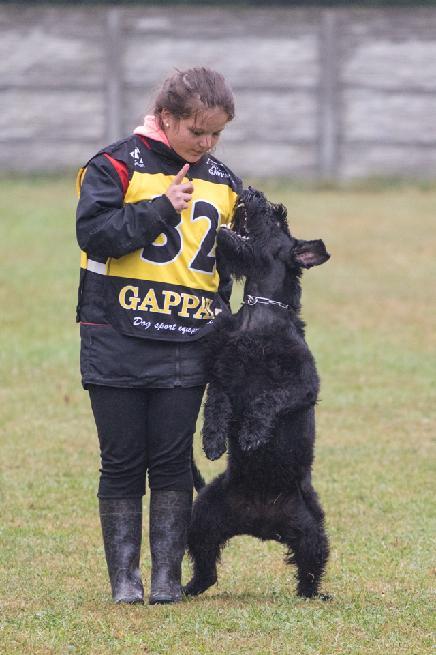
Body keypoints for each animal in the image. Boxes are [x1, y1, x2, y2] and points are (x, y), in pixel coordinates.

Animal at [183, 187, 330, 604]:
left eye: (278, 217)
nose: (251, 191)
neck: (260, 317)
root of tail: (263, 525)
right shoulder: (222, 374)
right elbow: (215, 403)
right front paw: (214, 441)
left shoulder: (303, 387)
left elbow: (267, 401)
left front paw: (250, 435)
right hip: (204, 518)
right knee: (207, 570)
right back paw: (186, 588)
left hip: (313, 533)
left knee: (309, 573)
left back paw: (316, 595)